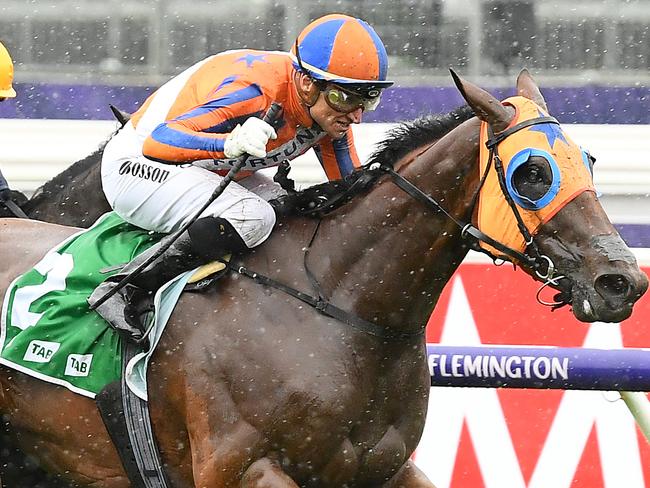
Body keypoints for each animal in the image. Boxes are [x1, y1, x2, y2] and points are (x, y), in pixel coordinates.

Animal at [0, 69, 644, 488]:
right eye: (532, 172)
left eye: (588, 162)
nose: (621, 280)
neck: (338, 305)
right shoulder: (242, 468)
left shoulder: (387, 471)